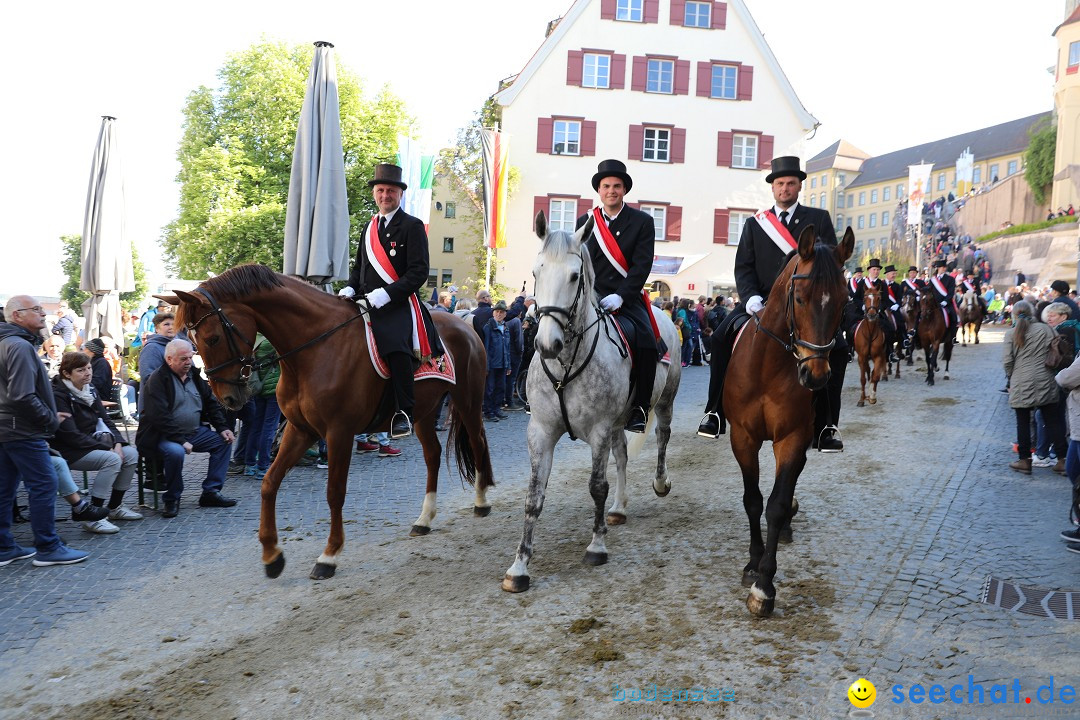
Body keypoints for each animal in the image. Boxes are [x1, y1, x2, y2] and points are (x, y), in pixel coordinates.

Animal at [163, 263, 494, 578]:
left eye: (212, 338)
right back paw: (424, 519)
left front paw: (329, 555)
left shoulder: (339, 433)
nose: (228, 398)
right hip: (423, 412)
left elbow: (334, 493)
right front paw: (272, 555)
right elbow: (269, 483)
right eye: (191, 341)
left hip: (467, 400)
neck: (312, 350)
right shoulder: (300, 430)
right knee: (433, 455)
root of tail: (464, 325)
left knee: (477, 442)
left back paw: (481, 501)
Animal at [498, 211, 682, 595]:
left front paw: (597, 546)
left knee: (663, 437)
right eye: (536, 272)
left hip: (664, 401)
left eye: (574, 276)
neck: (566, 363)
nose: (546, 343)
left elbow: (597, 486)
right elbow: (533, 497)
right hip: (618, 421)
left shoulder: (598, 430)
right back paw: (619, 508)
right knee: (623, 455)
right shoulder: (541, 432)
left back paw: (660, 482)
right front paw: (519, 566)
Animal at [725, 222, 851, 617]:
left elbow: (776, 505)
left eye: (843, 300)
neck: (769, 364)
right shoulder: (743, 437)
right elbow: (752, 500)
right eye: (800, 298)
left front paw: (764, 586)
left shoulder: (792, 437)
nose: (815, 376)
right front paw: (752, 565)